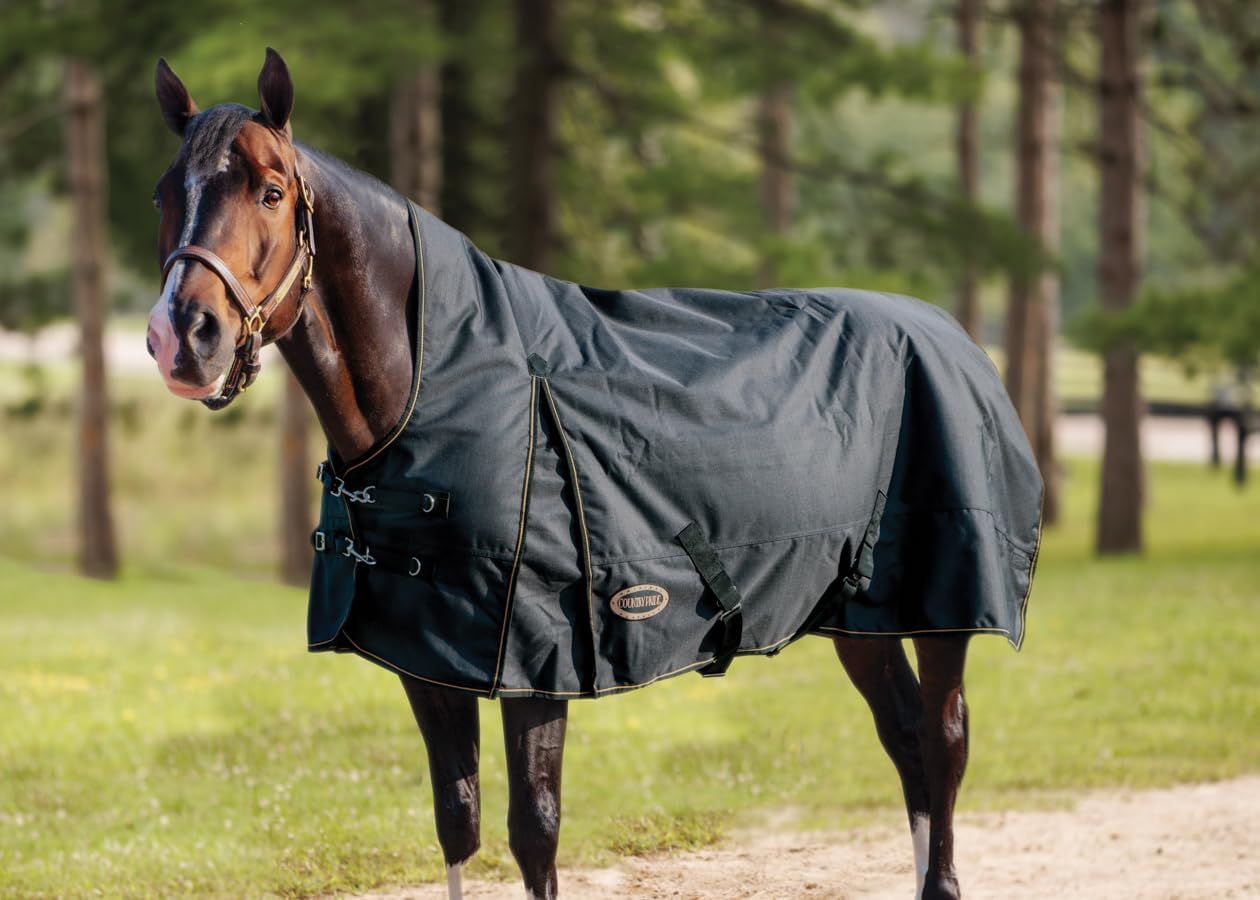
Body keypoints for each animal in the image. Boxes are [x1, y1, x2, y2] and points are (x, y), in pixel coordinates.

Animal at [146, 49, 1041, 900]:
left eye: (270, 191)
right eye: (163, 194)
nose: (182, 336)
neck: (443, 376)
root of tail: (954, 335)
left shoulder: (537, 662)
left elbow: (534, 831)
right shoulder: (429, 662)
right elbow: (456, 823)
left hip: (944, 609)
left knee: (944, 743)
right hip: (861, 614)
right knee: (906, 740)